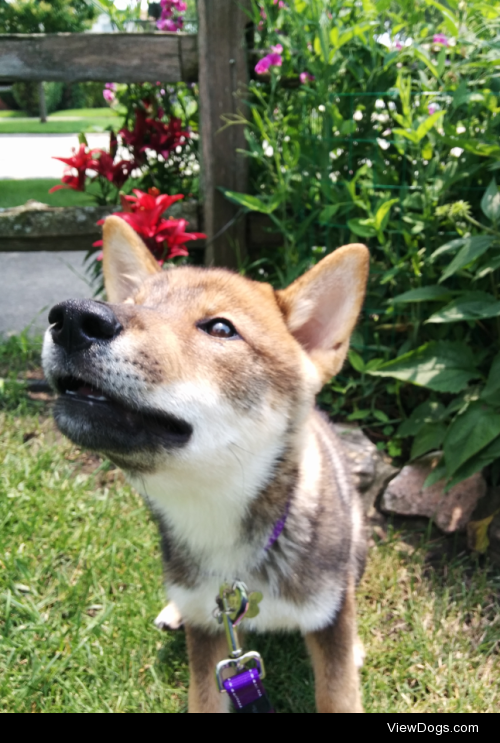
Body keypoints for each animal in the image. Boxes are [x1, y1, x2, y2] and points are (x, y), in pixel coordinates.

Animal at [43, 217, 370, 716]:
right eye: (130, 304)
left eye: (220, 327)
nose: (74, 318)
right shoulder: (212, 636)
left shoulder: (327, 619)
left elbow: (339, 687)